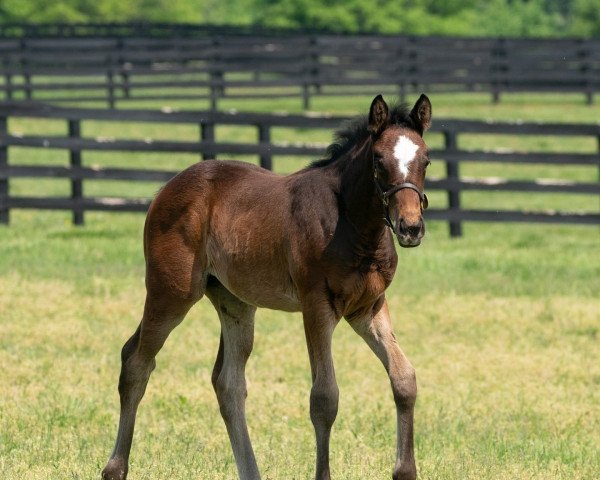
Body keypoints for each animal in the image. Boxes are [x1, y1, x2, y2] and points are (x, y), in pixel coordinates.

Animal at [102, 94, 432, 480]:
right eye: (379, 160)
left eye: (426, 159)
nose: (410, 227)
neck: (352, 224)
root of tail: (167, 188)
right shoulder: (316, 306)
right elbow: (324, 398)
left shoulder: (368, 307)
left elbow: (404, 379)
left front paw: (405, 471)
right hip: (171, 292)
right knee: (136, 362)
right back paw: (114, 469)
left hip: (234, 302)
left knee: (227, 382)